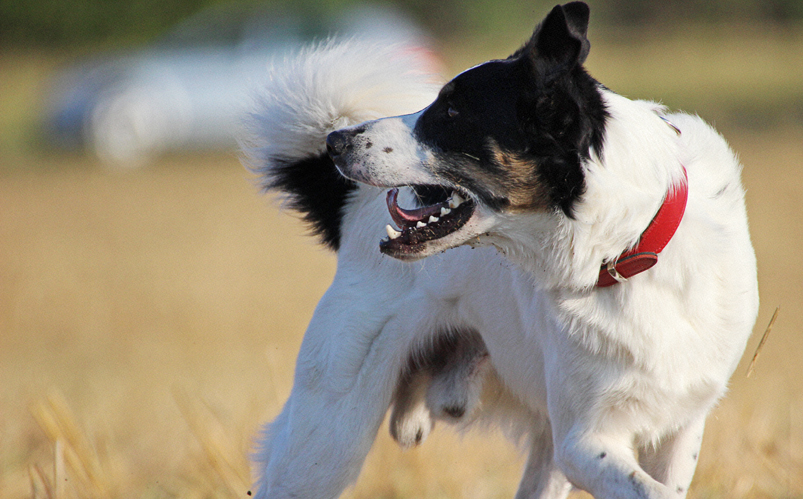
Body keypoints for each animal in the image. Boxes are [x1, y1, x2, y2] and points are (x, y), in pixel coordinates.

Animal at [243, 1, 760, 498]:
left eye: (451, 113)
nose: (336, 142)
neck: (627, 246)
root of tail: (349, 207)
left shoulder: (677, 427)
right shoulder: (583, 441)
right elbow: (652, 492)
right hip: (328, 435)